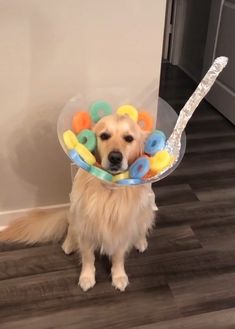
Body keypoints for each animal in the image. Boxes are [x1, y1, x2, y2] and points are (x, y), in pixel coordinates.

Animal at [0, 114, 155, 290]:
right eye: (104, 136)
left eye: (129, 138)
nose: (115, 157)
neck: (109, 188)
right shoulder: (85, 226)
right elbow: (88, 257)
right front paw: (87, 277)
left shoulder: (121, 228)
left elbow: (118, 256)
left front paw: (119, 276)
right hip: (74, 212)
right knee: (71, 228)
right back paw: (68, 244)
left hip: (146, 210)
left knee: (142, 227)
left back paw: (140, 241)